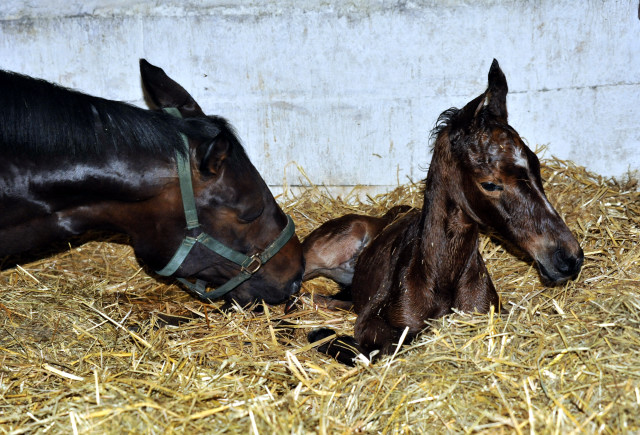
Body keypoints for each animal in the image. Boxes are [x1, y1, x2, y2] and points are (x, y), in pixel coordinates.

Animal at [306, 59, 584, 366]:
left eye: (536, 166)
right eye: (490, 184)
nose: (568, 257)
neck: (439, 277)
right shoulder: (373, 326)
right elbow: (372, 350)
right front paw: (321, 334)